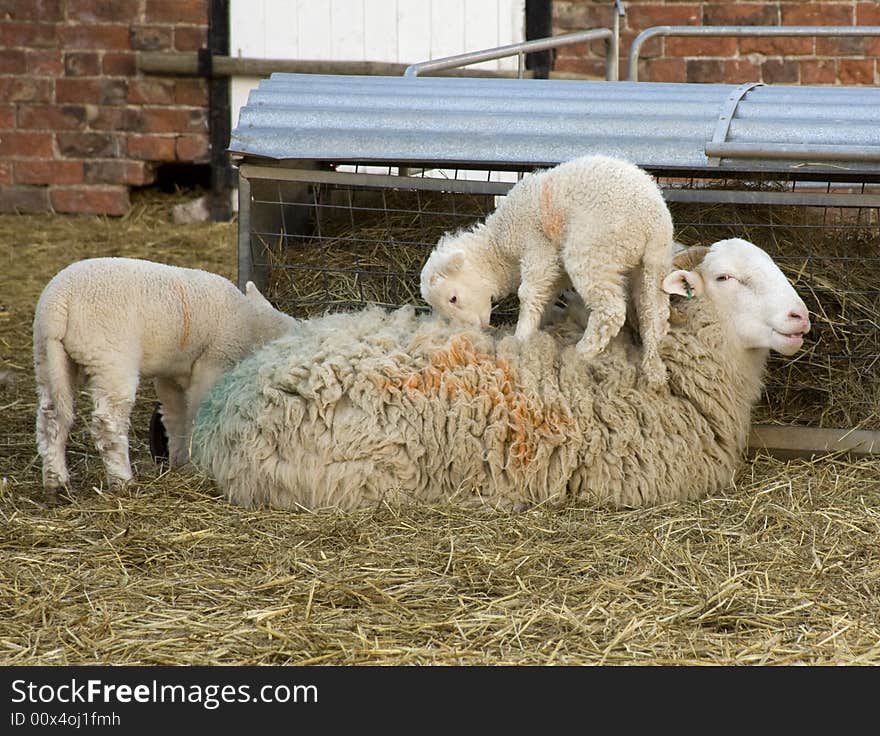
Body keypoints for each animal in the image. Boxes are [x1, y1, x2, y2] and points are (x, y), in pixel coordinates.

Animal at [33, 258, 300, 494]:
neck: (252, 324)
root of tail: (59, 302)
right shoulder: (212, 363)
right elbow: (196, 413)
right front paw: (195, 464)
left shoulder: (172, 375)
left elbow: (175, 417)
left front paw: (179, 463)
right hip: (110, 357)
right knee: (108, 422)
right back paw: (122, 480)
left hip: (48, 357)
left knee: (51, 418)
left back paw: (56, 481)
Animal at [420, 153, 672, 388]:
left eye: (453, 298)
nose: (478, 330)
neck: (499, 247)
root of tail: (654, 223)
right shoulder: (556, 269)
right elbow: (546, 295)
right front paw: (541, 325)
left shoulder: (537, 247)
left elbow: (528, 293)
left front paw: (521, 338)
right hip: (649, 266)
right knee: (654, 313)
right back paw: (653, 363)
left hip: (592, 249)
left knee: (612, 311)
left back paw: (582, 351)